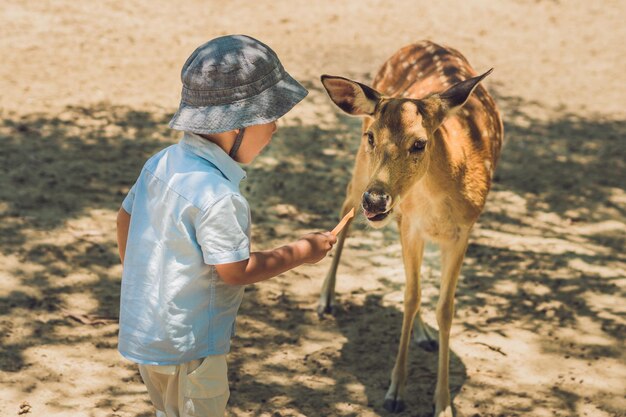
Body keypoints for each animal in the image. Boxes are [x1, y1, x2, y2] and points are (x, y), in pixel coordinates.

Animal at [316, 39, 502, 416]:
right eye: (372, 136)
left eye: (419, 143)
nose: (375, 201)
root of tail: (422, 42)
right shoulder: (412, 228)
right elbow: (411, 296)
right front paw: (395, 392)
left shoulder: (463, 230)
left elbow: (444, 307)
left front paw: (443, 403)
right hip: (363, 173)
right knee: (346, 205)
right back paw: (326, 298)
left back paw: (425, 336)